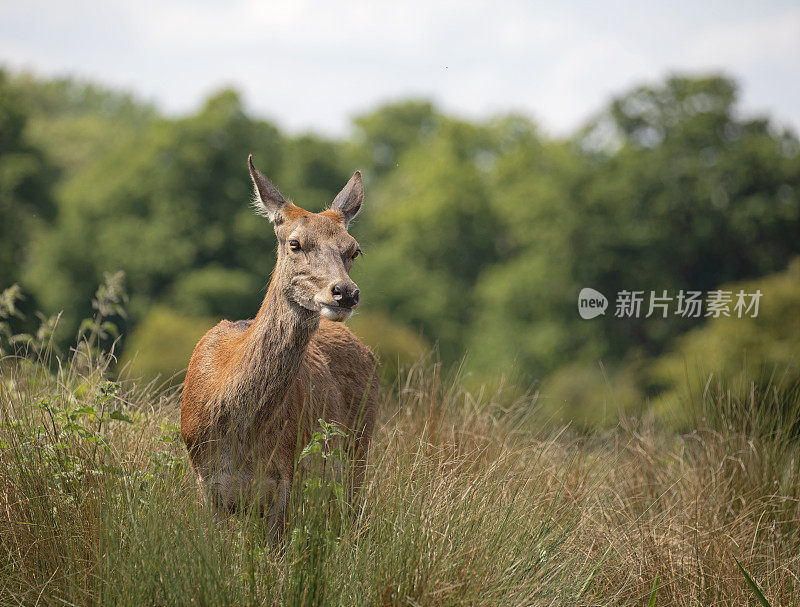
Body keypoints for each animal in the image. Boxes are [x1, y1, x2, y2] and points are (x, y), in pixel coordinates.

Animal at [180, 156, 378, 536]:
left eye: (354, 250)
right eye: (295, 244)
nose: (345, 292)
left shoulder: (286, 477)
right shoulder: (205, 483)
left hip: (359, 450)